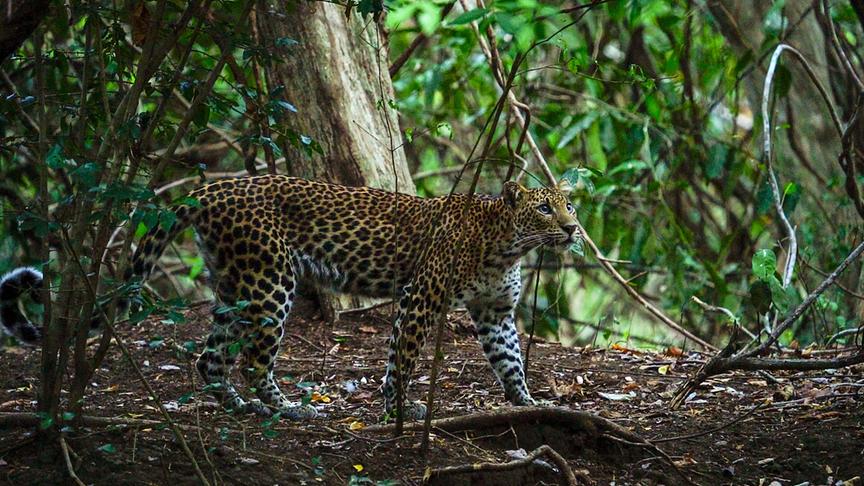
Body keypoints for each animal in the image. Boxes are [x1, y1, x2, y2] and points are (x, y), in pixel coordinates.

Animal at [0, 174, 580, 420]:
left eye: (569, 204)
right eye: (545, 208)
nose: (573, 228)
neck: (508, 245)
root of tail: (211, 188)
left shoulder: (495, 312)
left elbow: (510, 361)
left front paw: (529, 404)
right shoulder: (419, 299)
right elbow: (402, 360)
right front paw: (398, 410)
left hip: (236, 287)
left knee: (211, 357)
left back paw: (239, 406)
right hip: (270, 281)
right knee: (255, 360)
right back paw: (289, 409)